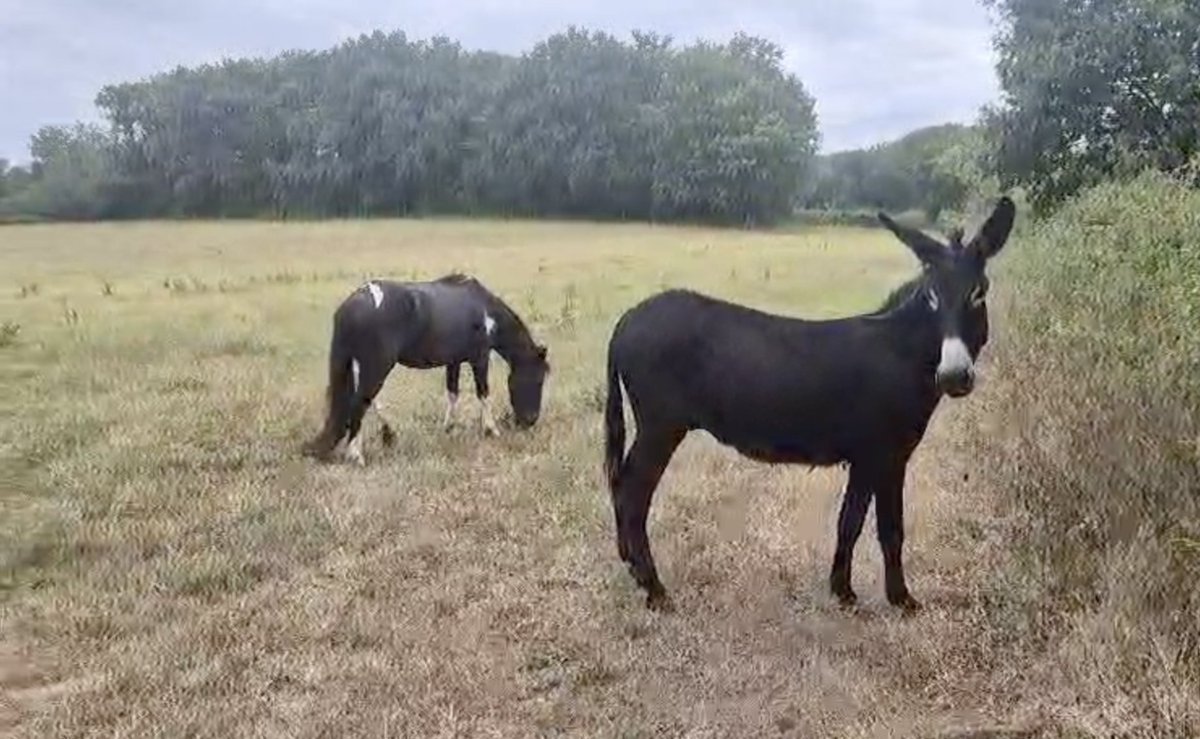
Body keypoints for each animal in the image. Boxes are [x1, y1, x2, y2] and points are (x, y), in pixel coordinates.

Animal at [302, 273, 550, 465]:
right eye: (538, 379)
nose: (530, 421)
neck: (485, 311)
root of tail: (352, 305)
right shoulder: (479, 358)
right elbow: (483, 393)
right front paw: (491, 430)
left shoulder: (454, 361)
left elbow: (452, 393)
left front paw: (449, 428)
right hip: (377, 365)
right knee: (361, 402)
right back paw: (357, 455)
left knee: (365, 401)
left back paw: (387, 435)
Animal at [603, 197, 1016, 612]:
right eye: (931, 298)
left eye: (978, 293)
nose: (954, 376)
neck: (902, 352)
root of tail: (626, 319)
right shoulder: (885, 454)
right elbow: (887, 528)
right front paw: (900, 599)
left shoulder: (868, 457)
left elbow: (850, 523)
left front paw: (844, 590)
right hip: (661, 425)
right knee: (632, 492)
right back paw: (655, 590)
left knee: (622, 486)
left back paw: (634, 570)